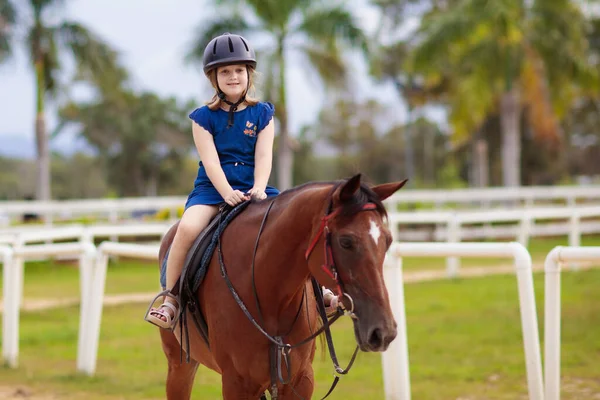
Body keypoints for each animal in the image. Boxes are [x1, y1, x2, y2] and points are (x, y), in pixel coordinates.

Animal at [157, 175, 408, 400]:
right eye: (346, 242)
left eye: (388, 240)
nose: (383, 332)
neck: (271, 297)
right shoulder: (237, 384)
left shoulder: (300, 380)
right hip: (179, 366)